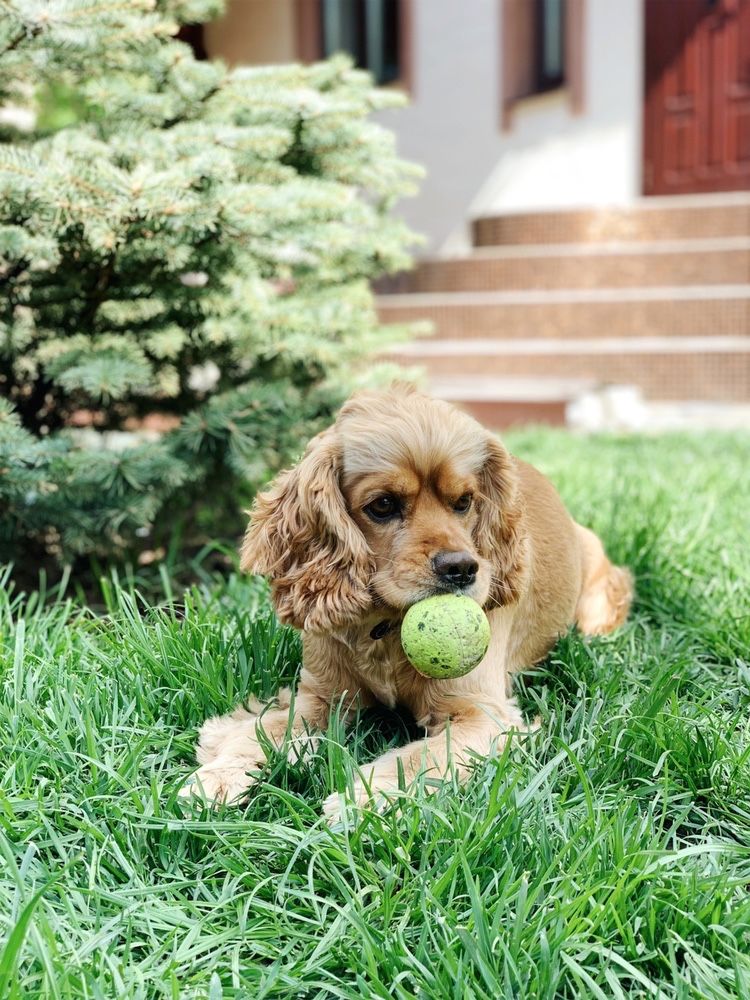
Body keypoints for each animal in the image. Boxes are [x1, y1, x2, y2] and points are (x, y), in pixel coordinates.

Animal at [184, 384, 636, 820]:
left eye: (464, 502)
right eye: (383, 504)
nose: (462, 568)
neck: (385, 626)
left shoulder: (481, 713)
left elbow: (419, 759)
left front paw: (363, 800)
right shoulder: (322, 697)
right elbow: (265, 730)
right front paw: (218, 775)